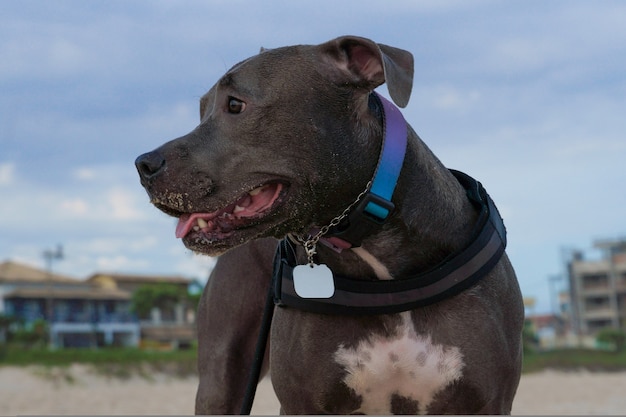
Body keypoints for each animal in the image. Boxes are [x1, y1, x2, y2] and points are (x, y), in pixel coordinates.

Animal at [135, 35, 520, 412]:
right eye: (202, 109)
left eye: (235, 104)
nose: (143, 164)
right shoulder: (302, 403)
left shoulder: (487, 402)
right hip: (221, 377)